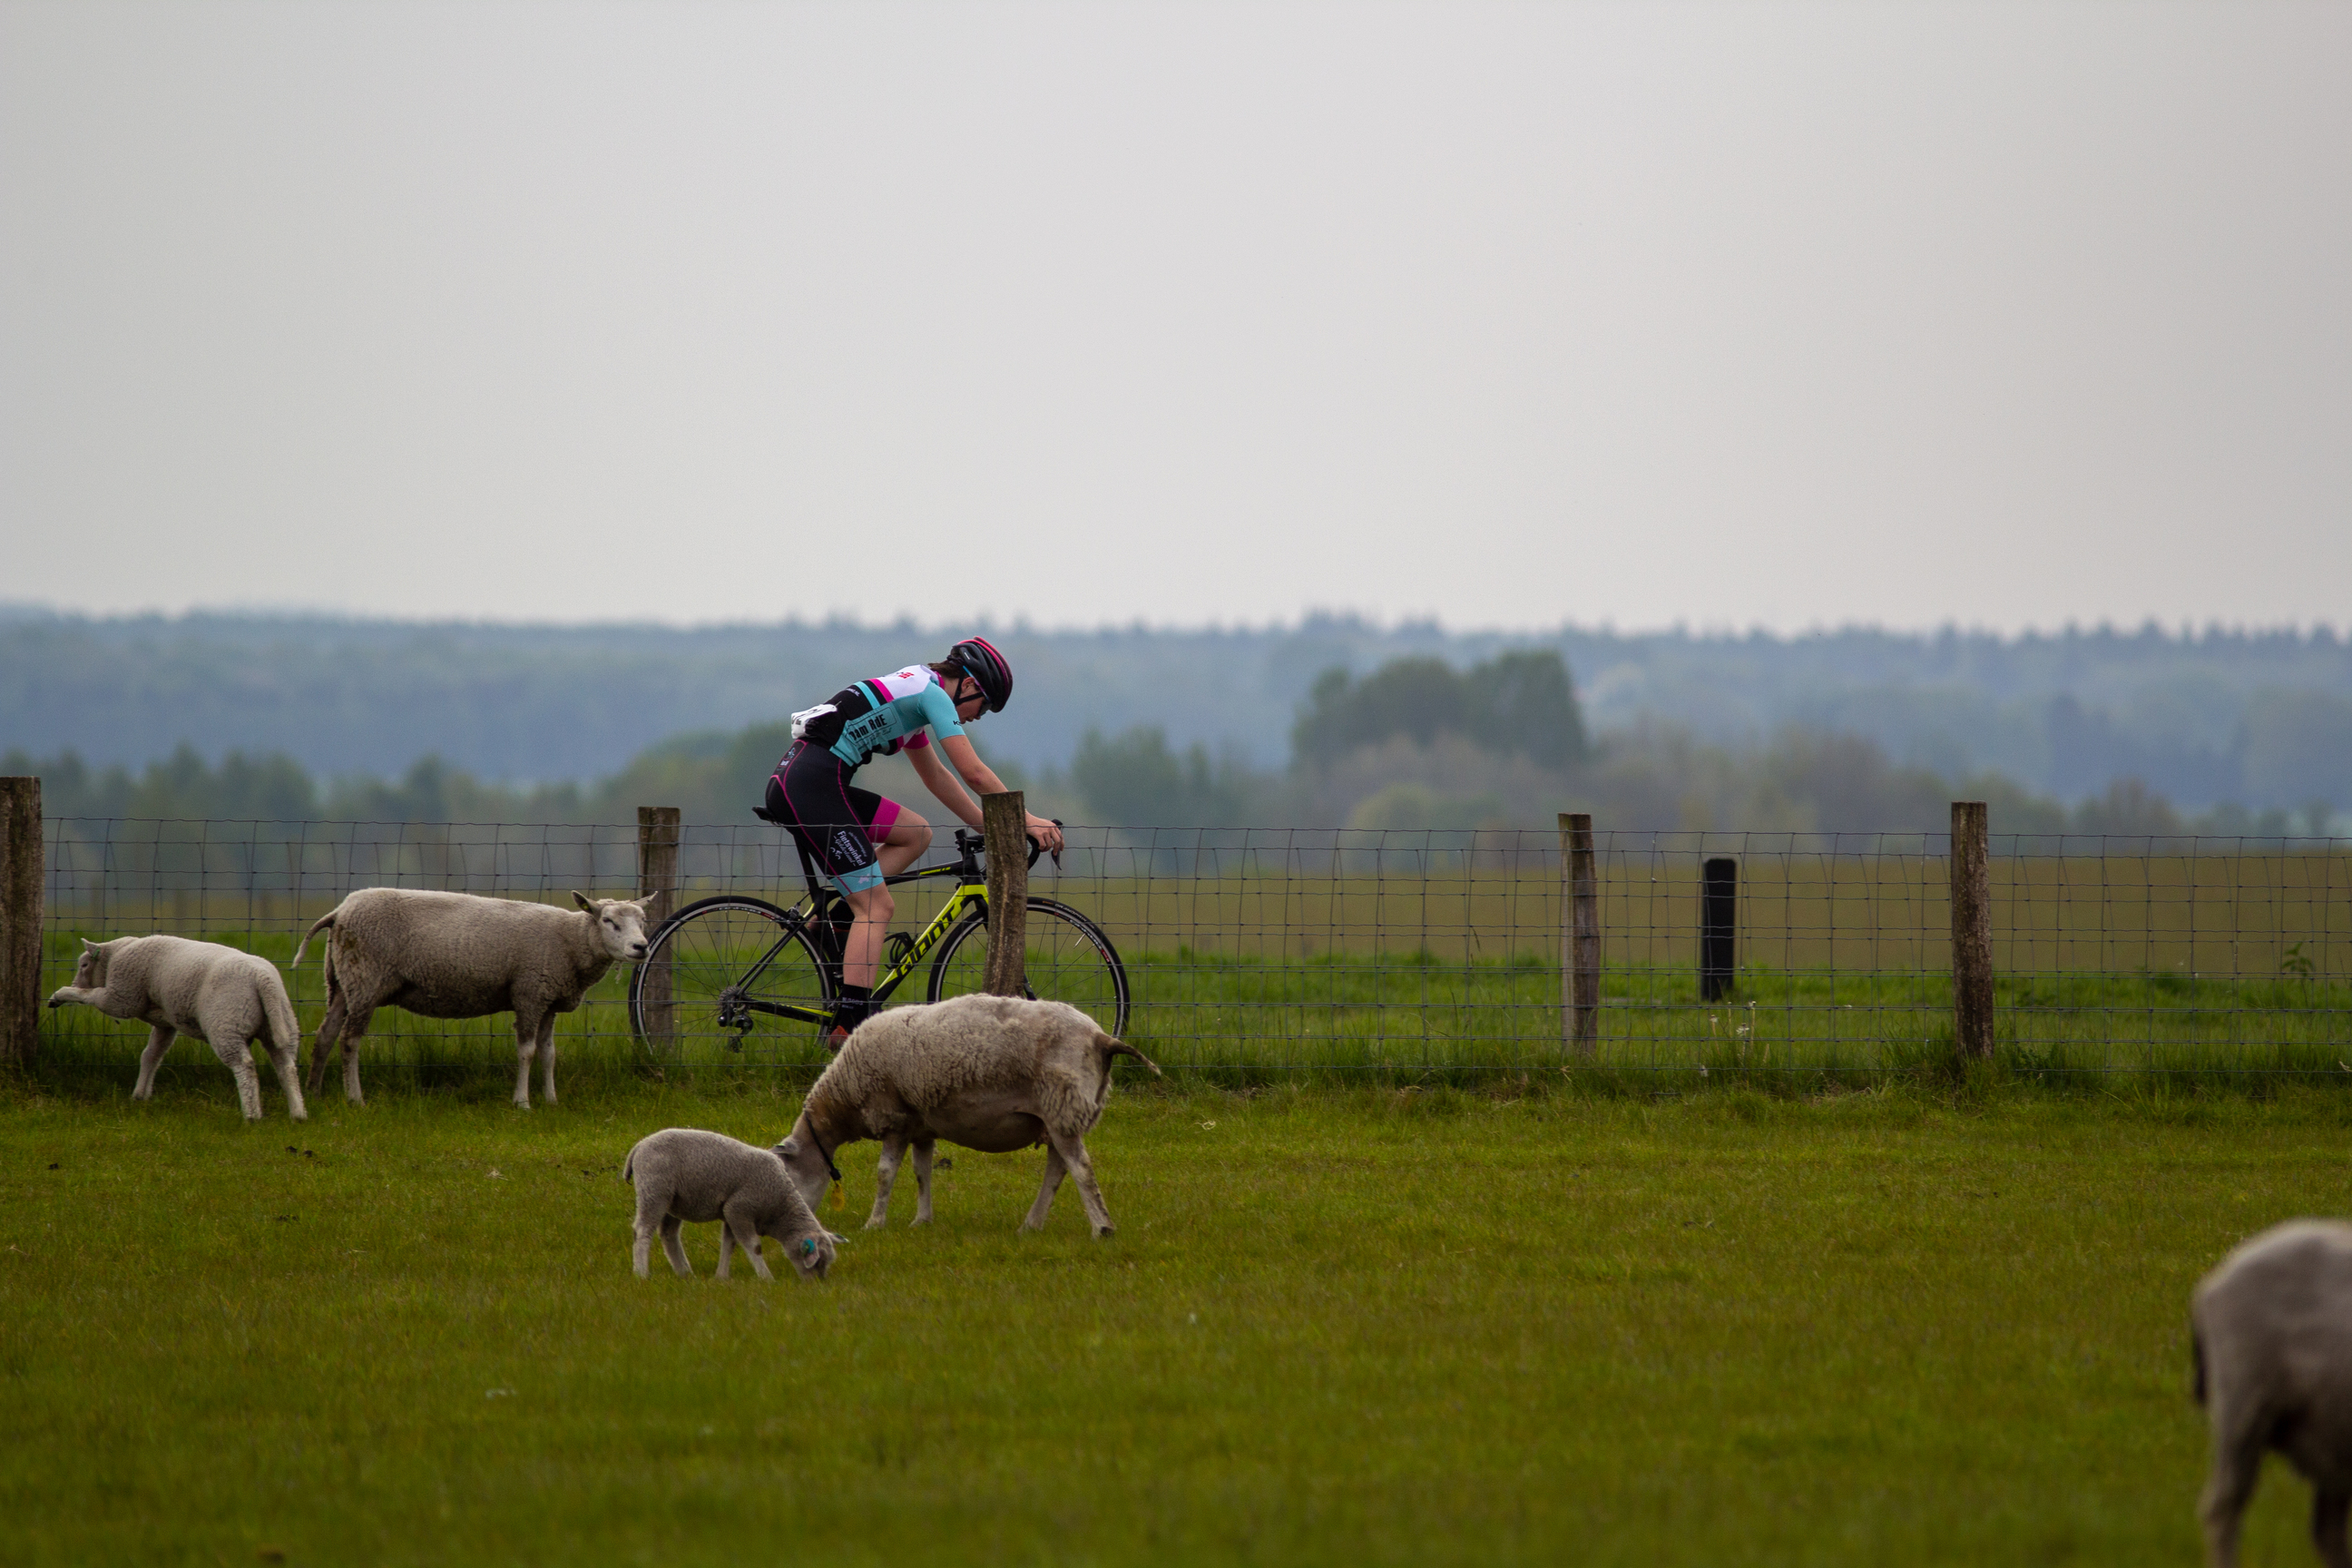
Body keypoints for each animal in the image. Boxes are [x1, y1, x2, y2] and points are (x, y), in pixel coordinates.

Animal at [46, 940, 308, 1123]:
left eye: (84, 965)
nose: (76, 981)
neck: (116, 954)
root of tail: (263, 980)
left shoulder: (122, 997)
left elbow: (92, 996)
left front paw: (61, 995)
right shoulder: (166, 1023)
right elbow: (151, 1055)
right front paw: (140, 1095)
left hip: (226, 1022)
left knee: (244, 1065)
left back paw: (252, 1115)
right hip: (280, 1023)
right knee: (286, 1067)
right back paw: (298, 1113)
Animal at [291, 888, 653, 1109]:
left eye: (643, 921)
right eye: (608, 921)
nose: (642, 947)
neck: (570, 941)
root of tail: (340, 910)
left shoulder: (548, 1000)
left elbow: (549, 1054)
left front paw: (551, 1100)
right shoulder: (528, 994)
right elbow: (527, 1052)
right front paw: (522, 1102)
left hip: (342, 982)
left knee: (325, 1035)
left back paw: (314, 1091)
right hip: (367, 978)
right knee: (349, 1040)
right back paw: (355, 1098)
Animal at [621, 1132, 841, 1279]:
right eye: (819, 1261)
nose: (818, 1285)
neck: (779, 1207)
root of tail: (639, 1147)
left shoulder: (732, 1213)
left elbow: (730, 1244)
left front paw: (721, 1277)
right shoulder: (739, 1208)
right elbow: (754, 1246)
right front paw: (766, 1278)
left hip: (673, 1201)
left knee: (668, 1234)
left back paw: (685, 1273)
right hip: (654, 1190)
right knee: (642, 1231)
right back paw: (641, 1273)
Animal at [776, 992, 1152, 1240]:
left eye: (789, 1178)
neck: (842, 1101)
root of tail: (1100, 1037)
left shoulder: (895, 1117)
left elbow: (885, 1175)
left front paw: (874, 1223)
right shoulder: (920, 1126)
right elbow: (922, 1173)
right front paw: (922, 1221)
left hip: (1062, 1105)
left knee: (1081, 1169)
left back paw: (1101, 1228)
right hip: (1059, 1114)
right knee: (1058, 1169)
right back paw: (1031, 1224)